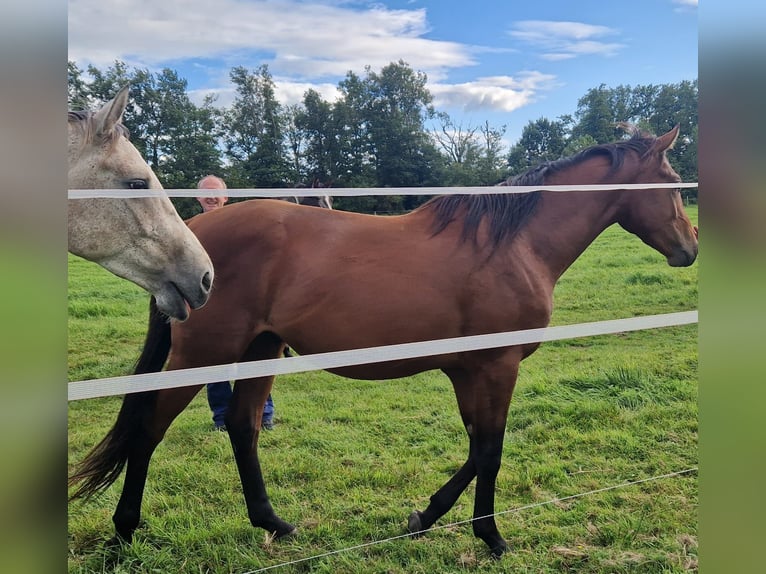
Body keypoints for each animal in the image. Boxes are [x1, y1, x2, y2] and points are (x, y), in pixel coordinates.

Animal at [69, 125, 697, 558]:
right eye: (672, 185)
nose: (689, 247)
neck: (509, 245)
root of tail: (194, 245)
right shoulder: (498, 367)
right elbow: (491, 451)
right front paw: (491, 537)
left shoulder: (471, 372)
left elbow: (476, 448)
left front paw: (426, 517)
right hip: (205, 354)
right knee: (150, 429)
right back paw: (125, 531)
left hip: (261, 350)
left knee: (244, 430)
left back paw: (274, 523)